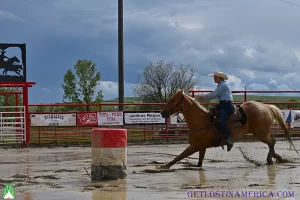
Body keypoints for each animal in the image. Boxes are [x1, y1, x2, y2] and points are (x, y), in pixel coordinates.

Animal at [158, 89, 298, 169]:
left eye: (173, 99)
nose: (162, 113)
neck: (201, 121)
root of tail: (267, 107)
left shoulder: (195, 146)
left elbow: (179, 156)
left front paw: (164, 166)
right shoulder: (201, 147)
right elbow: (199, 162)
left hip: (261, 133)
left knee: (272, 142)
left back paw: (271, 159)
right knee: (272, 143)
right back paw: (276, 157)